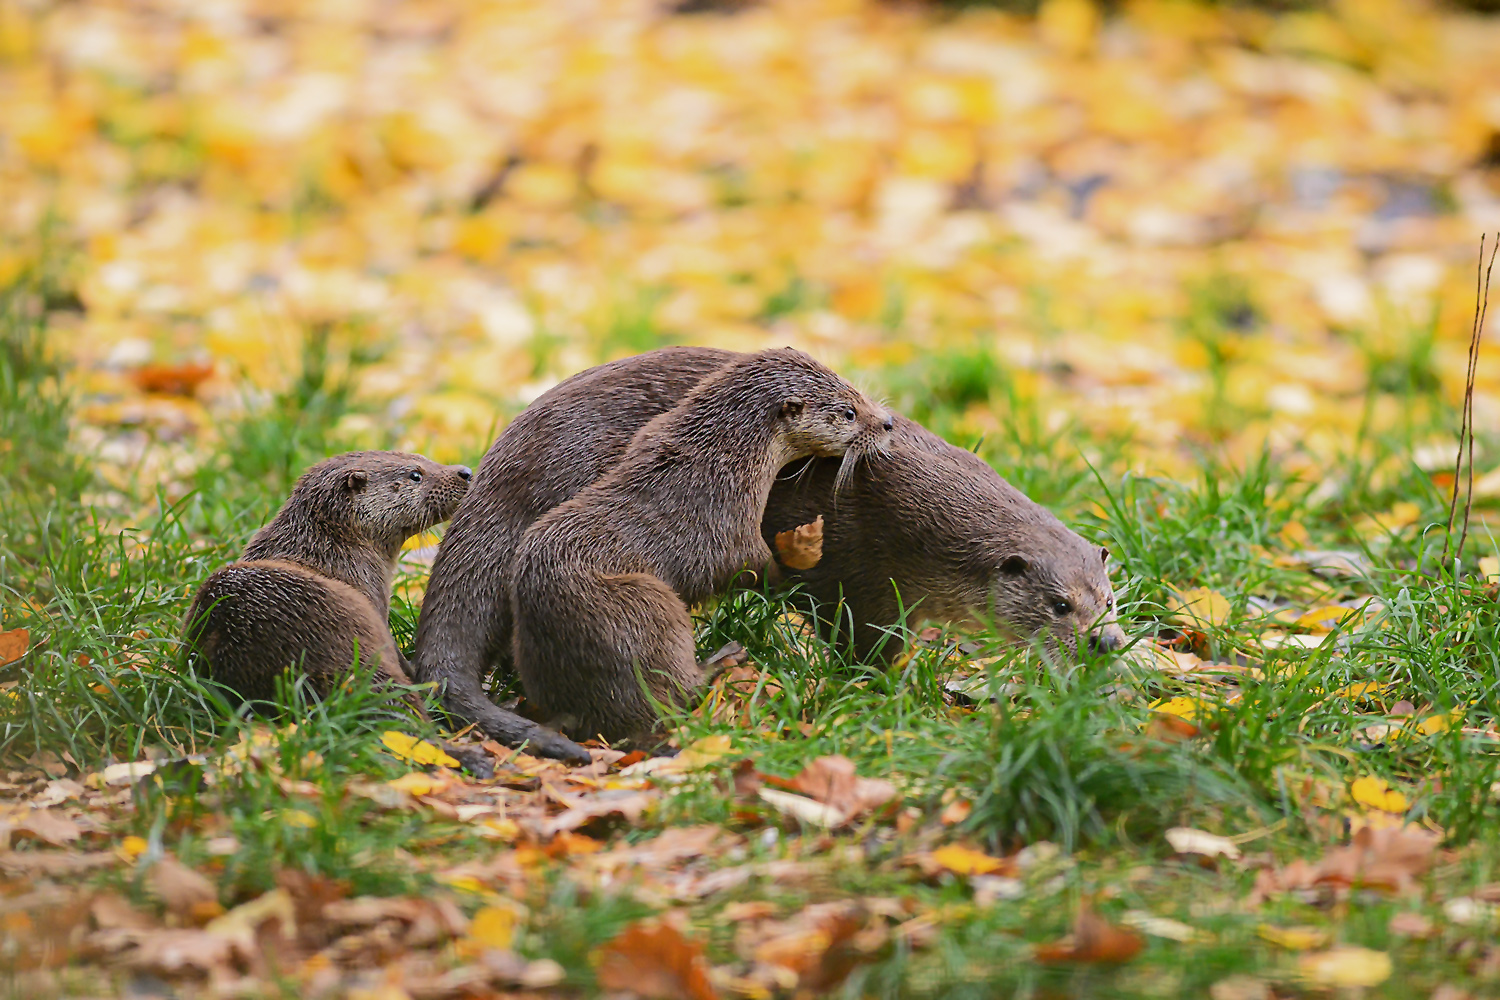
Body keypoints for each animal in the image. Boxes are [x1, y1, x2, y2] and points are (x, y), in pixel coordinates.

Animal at [510, 347, 894, 746]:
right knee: (673, 690)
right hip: (644, 606)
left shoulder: (651, 435)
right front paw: (802, 553)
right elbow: (750, 567)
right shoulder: (723, 523)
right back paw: (722, 660)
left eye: (855, 390)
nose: (887, 423)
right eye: (849, 413)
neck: (721, 457)